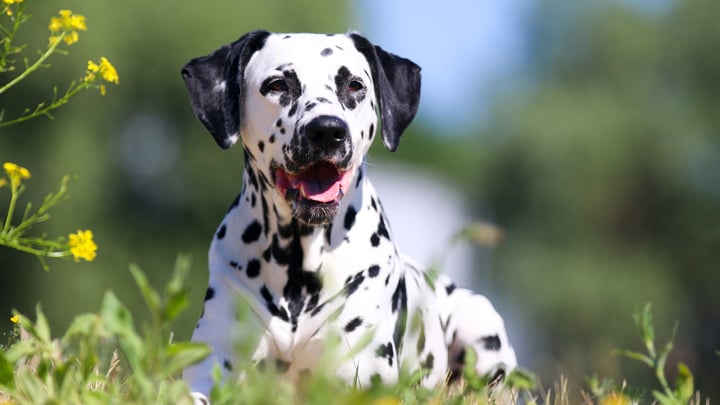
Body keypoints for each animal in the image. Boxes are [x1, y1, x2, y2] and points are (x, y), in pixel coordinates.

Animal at [180, 30, 516, 400]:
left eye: (354, 85)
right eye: (278, 84)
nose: (327, 130)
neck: (298, 266)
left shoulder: (364, 380)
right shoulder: (210, 367)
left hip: (479, 328)